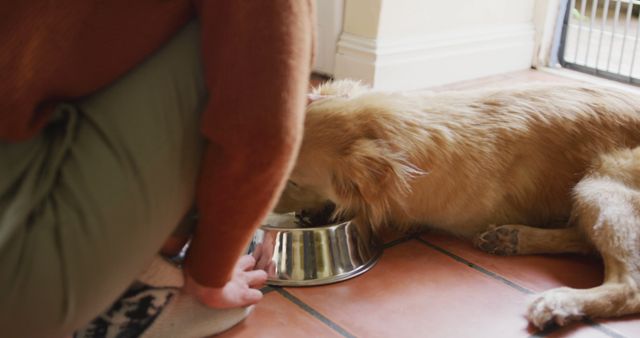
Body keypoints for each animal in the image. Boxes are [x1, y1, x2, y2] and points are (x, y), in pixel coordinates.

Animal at [278, 78, 640, 328]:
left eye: (292, 180)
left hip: (600, 182)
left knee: (629, 287)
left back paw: (559, 301)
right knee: (584, 240)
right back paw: (511, 238)